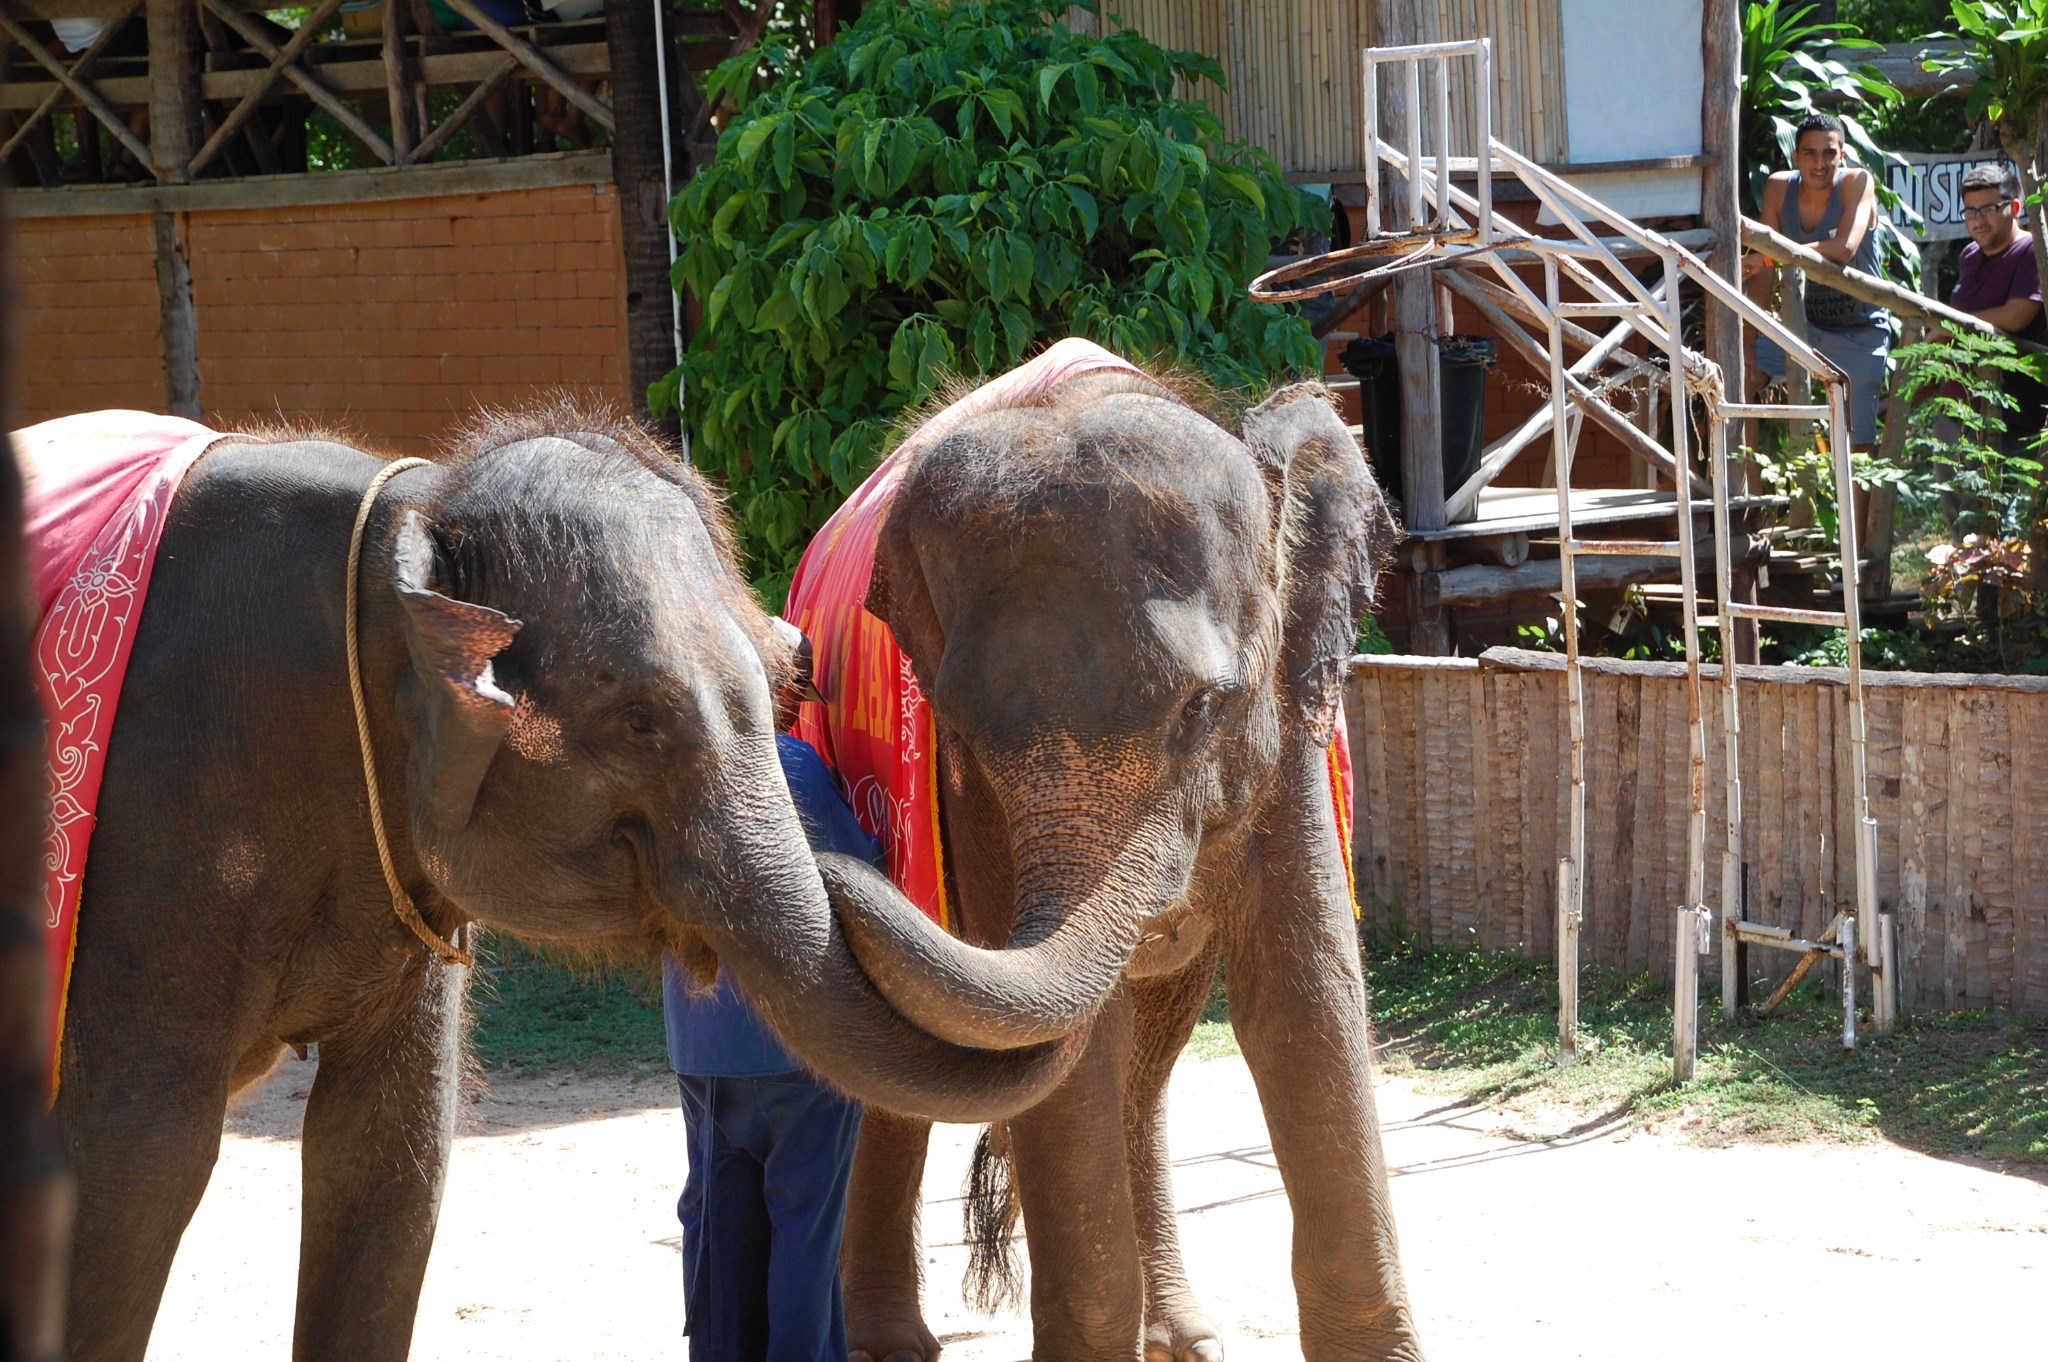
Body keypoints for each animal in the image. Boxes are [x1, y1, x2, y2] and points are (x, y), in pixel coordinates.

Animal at [39, 403, 1081, 1359]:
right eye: (640, 722)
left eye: (781, 676)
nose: (851, 859)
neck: (409, 522)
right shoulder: (151, 850)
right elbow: (137, 1168)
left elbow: (388, 1157)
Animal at [806, 366, 1433, 1359]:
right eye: (964, 732)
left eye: (1204, 707)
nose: (828, 863)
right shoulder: (970, 809)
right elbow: (1074, 1054)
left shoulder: (1286, 724)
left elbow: (1304, 1001)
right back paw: (889, 1344)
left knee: (1151, 1056)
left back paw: (1181, 1336)